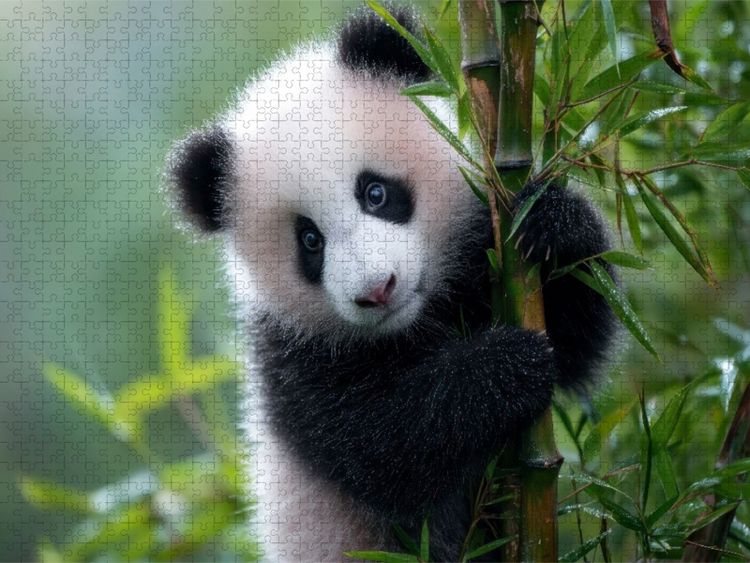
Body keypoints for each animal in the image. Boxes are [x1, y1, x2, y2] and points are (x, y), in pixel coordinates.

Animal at [167, 5, 617, 562]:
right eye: (310, 241)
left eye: (375, 192)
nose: (377, 289)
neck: (417, 323)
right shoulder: (293, 361)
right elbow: (385, 446)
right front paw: (506, 366)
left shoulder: (481, 254)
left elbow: (577, 343)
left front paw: (554, 223)